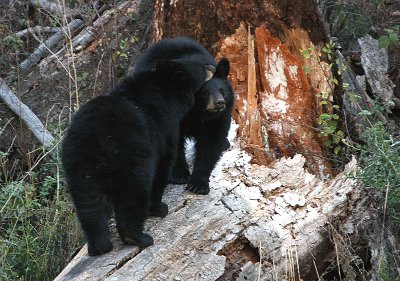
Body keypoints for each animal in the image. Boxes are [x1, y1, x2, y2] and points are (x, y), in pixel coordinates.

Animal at [61, 59, 211, 256]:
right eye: (201, 67)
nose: (212, 67)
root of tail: (98, 136)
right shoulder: (164, 130)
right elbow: (163, 167)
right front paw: (159, 208)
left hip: (78, 162)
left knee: (89, 202)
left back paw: (99, 246)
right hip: (131, 153)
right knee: (134, 192)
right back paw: (137, 236)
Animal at [134, 36, 234, 195]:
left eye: (221, 90)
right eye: (204, 92)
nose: (219, 103)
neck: (198, 113)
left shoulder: (218, 119)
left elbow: (211, 143)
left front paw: (198, 184)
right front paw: (179, 176)